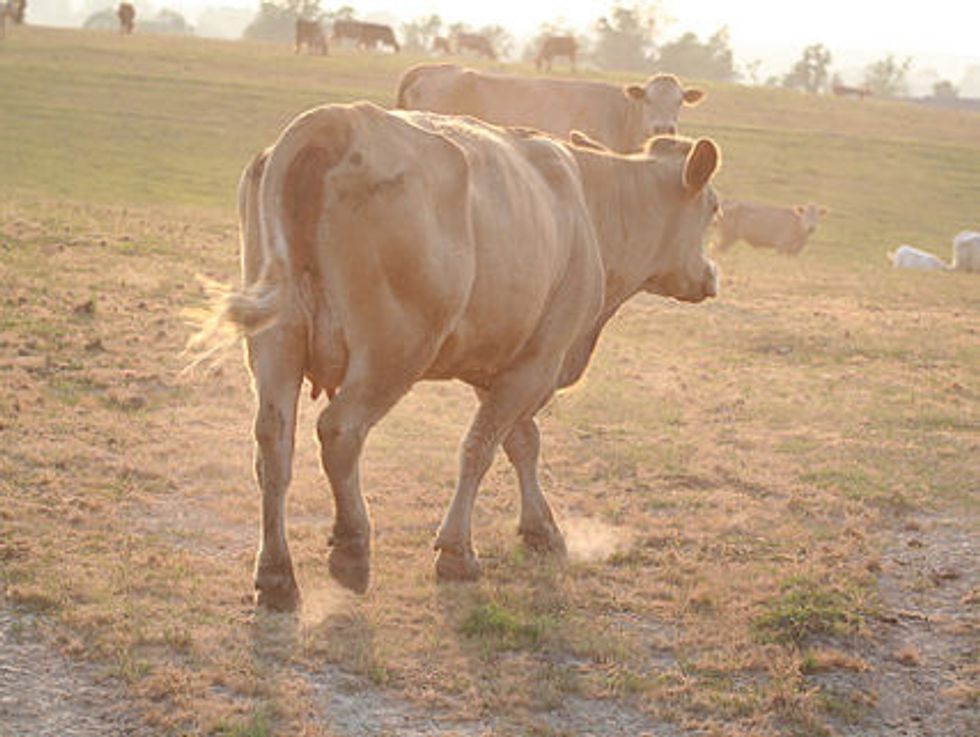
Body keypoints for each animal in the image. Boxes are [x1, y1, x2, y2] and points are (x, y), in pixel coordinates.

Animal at [197, 103, 720, 608]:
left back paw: (276, 575)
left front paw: (541, 528)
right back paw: (352, 548)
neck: (592, 204)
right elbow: (481, 447)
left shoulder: (497, 363)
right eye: (713, 208)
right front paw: (456, 551)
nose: (711, 275)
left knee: (274, 445)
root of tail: (333, 122)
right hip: (394, 350)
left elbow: (521, 442)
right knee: (341, 432)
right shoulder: (539, 361)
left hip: (276, 343)